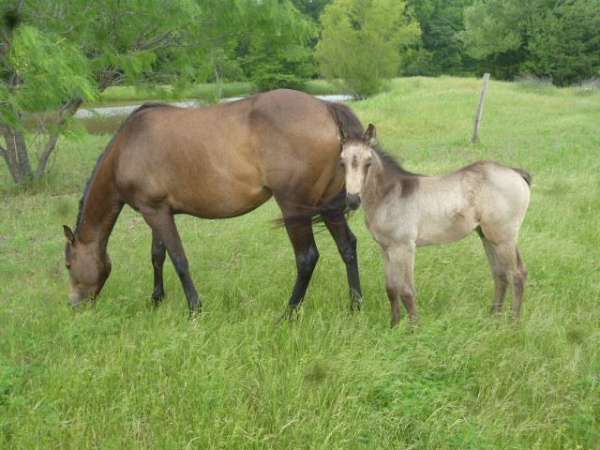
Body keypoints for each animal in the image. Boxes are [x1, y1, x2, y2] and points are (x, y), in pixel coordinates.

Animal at [65, 89, 366, 316]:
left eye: (68, 265)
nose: (74, 304)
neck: (127, 148)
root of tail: (325, 106)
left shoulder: (155, 212)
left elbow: (178, 259)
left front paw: (194, 309)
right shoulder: (158, 211)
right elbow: (158, 256)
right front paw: (156, 299)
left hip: (294, 206)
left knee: (307, 258)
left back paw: (289, 313)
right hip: (328, 205)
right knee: (347, 246)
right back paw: (355, 305)